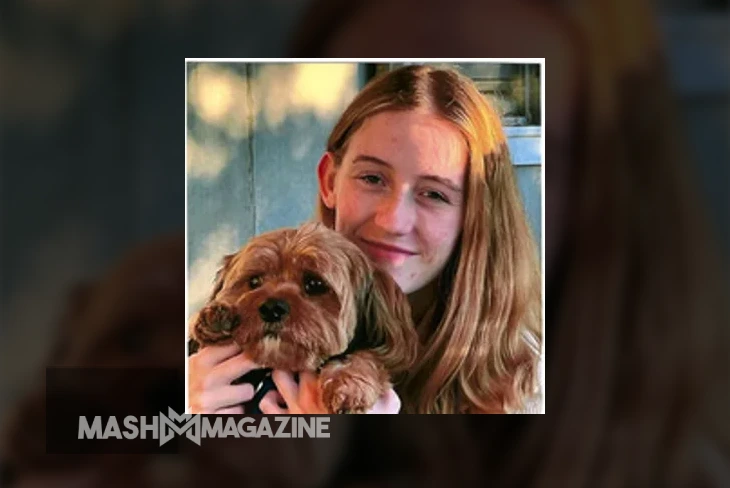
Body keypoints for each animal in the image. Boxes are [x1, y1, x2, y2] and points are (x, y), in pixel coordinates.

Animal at [189, 223, 416, 414]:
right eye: (254, 281)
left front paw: (349, 385)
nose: (271, 308)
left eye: (315, 284)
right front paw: (214, 320)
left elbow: (368, 358)